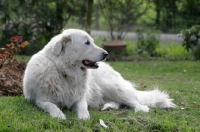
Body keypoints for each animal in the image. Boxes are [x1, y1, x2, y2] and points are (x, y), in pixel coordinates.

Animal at [23, 28, 177, 119]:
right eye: (87, 43)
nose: (106, 53)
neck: (65, 72)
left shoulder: (80, 99)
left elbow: (83, 108)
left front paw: (84, 117)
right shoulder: (41, 100)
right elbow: (51, 106)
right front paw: (59, 115)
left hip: (111, 86)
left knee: (133, 102)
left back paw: (140, 109)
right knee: (118, 102)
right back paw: (109, 106)